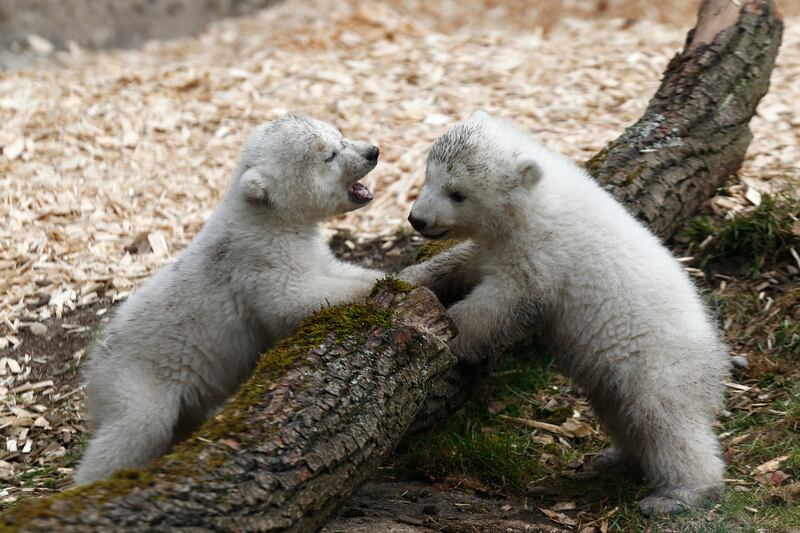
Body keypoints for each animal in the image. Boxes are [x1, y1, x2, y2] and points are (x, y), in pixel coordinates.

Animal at [75, 114, 384, 485]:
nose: (372, 151)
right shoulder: (257, 260)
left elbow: (337, 269)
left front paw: (394, 274)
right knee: (138, 426)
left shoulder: (310, 251)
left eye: (340, 134)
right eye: (330, 155)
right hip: (132, 376)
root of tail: (94, 365)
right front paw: (374, 289)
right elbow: (291, 300)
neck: (263, 216)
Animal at [399, 111, 730, 515]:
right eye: (427, 176)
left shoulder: (543, 255)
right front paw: (408, 278)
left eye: (458, 193)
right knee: (622, 414)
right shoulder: (502, 243)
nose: (417, 219)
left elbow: (503, 303)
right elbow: (464, 262)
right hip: (614, 376)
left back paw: (679, 494)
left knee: (667, 423)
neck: (535, 200)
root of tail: (715, 359)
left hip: (658, 367)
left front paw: (452, 332)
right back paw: (616, 459)